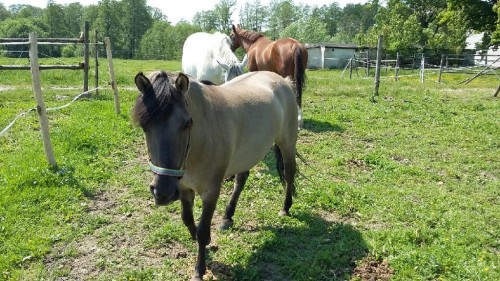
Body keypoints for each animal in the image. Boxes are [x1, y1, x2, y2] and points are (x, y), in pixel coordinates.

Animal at [132, 70, 296, 280]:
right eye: (144, 125)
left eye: (187, 123)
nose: (163, 193)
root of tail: (283, 80)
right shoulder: (184, 188)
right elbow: (187, 220)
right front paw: (204, 243)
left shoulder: (210, 192)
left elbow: (202, 230)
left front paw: (199, 269)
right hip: (246, 155)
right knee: (241, 180)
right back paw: (227, 217)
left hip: (287, 143)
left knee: (289, 173)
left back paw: (285, 208)